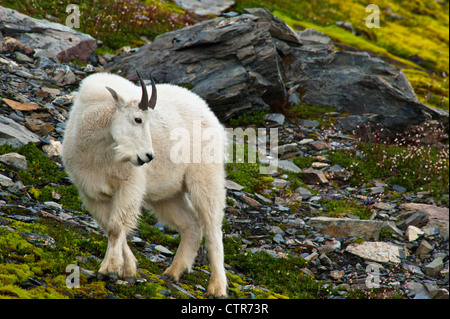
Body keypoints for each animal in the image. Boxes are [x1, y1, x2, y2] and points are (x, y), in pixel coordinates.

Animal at [61, 72, 227, 298]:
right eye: (138, 119)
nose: (148, 156)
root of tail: (210, 115)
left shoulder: (129, 185)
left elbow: (116, 227)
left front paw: (109, 270)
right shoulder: (91, 193)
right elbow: (110, 226)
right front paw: (128, 269)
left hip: (206, 177)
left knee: (212, 230)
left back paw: (217, 288)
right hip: (168, 194)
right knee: (191, 224)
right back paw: (173, 272)